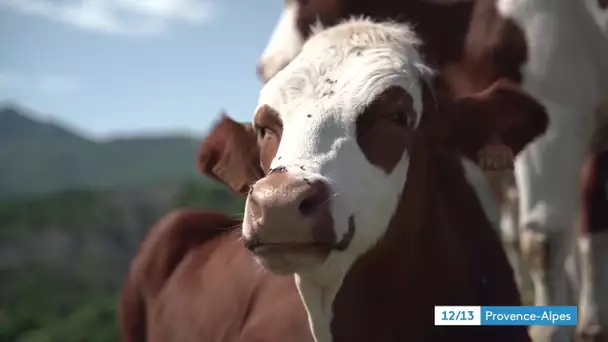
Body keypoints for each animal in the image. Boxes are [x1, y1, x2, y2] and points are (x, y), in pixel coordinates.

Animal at [255, 1, 608, 340]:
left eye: (396, 116)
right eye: (264, 128)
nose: (279, 202)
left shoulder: (560, 115)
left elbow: (542, 241)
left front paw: (550, 330)